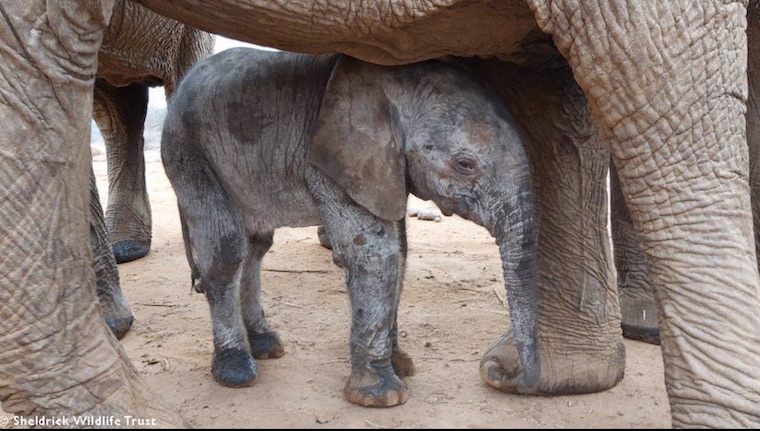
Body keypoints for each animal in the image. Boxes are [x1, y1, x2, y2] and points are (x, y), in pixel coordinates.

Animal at [161, 47, 538, 406]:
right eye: (465, 165)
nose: (502, 371)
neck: (390, 86)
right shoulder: (331, 165)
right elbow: (376, 255)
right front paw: (382, 396)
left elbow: (399, 251)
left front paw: (400, 366)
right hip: (189, 152)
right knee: (226, 252)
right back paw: (238, 371)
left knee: (255, 247)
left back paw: (266, 346)